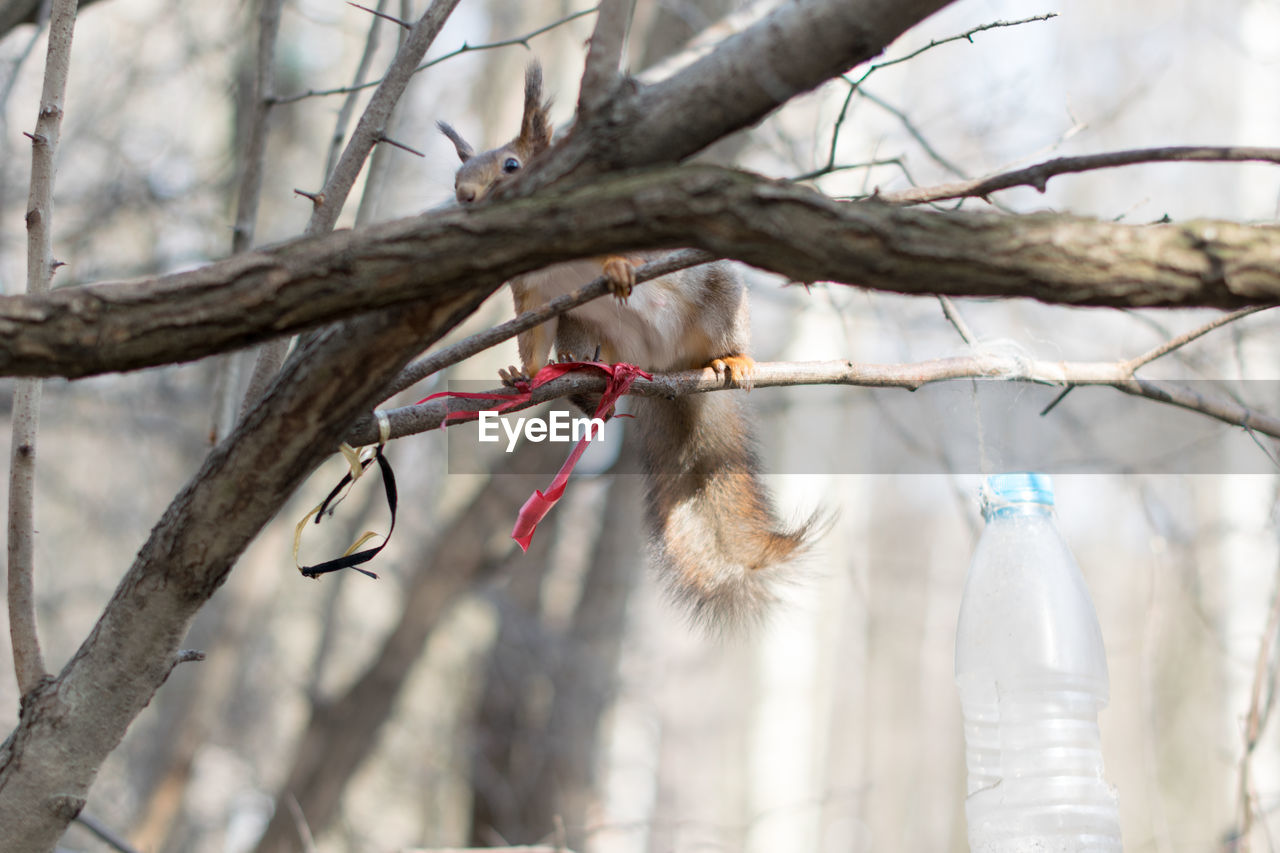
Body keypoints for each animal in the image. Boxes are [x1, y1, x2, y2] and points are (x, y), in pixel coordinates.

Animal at [440, 59, 819, 627]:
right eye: (457, 176)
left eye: (511, 165)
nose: (464, 197)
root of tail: (665, 372)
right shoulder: (532, 292)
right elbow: (532, 333)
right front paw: (524, 374)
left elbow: (626, 249)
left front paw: (620, 267)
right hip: (592, 333)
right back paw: (581, 376)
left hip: (721, 300)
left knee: (722, 335)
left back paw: (733, 359)